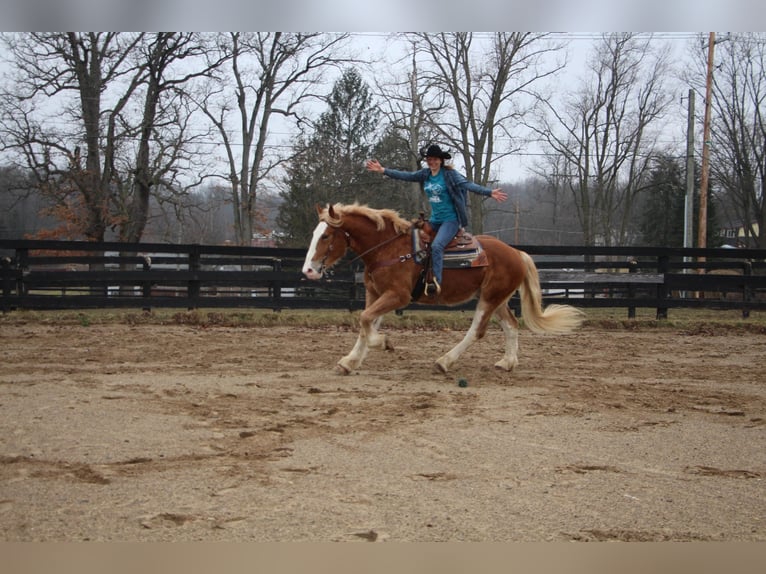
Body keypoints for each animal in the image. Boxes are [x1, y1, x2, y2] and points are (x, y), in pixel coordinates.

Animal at [304, 204, 584, 378]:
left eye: (326, 236)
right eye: (315, 233)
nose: (308, 270)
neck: (386, 249)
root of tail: (517, 253)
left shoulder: (397, 296)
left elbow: (365, 321)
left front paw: (384, 342)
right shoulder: (376, 294)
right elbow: (365, 323)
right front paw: (349, 362)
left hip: (489, 298)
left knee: (477, 331)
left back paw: (444, 361)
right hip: (497, 298)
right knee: (511, 325)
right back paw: (507, 362)